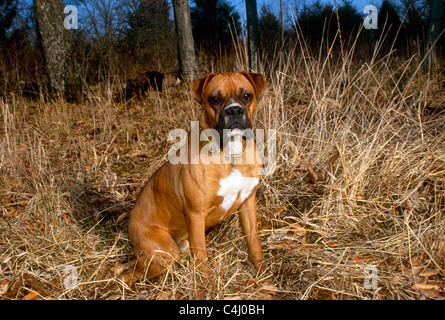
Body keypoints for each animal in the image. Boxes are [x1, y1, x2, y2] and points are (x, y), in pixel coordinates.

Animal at [126, 71, 268, 282]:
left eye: (246, 96)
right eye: (215, 99)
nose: (234, 110)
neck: (229, 154)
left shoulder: (248, 202)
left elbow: (254, 243)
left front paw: (262, 270)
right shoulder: (195, 215)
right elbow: (201, 257)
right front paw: (205, 285)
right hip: (164, 255)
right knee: (131, 273)